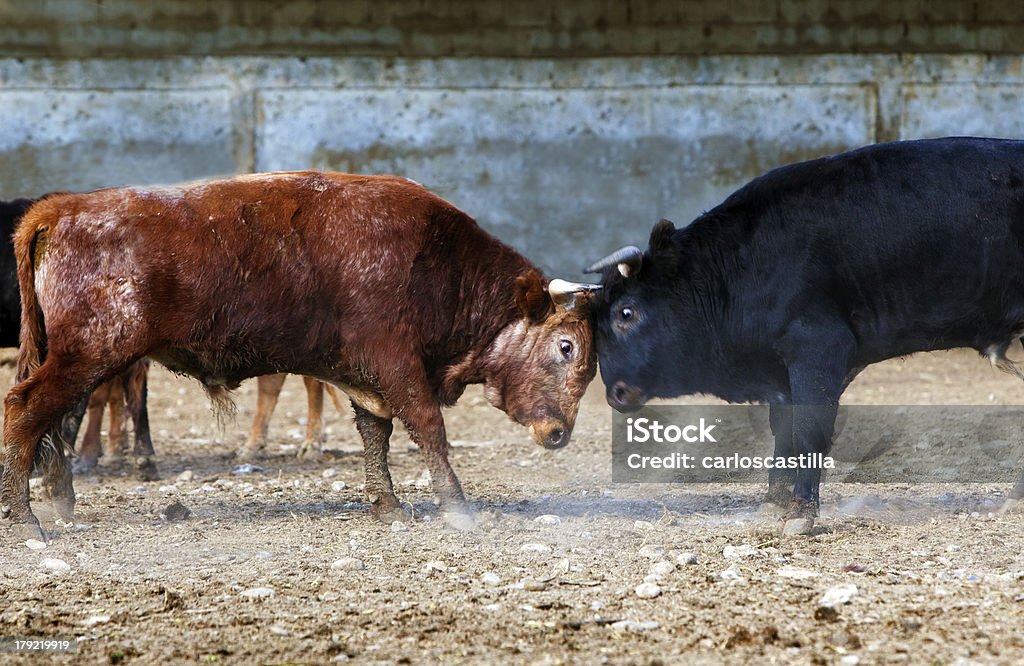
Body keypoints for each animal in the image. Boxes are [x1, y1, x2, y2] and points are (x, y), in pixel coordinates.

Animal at [0, 171, 598, 540]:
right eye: (565, 346)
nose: (559, 434)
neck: (435, 262)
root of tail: (60, 210)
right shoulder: (399, 367)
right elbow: (429, 429)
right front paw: (457, 508)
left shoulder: (367, 380)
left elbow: (375, 434)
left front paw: (386, 505)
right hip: (89, 355)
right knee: (26, 410)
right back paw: (26, 518)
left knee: (58, 419)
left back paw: (58, 498)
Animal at [589, 136, 1024, 532]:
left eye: (626, 312)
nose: (615, 393)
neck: (739, 269)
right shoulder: (782, 375)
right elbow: (783, 434)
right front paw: (774, 503)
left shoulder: (817, 350)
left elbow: (808, 431)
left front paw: (801, 513)